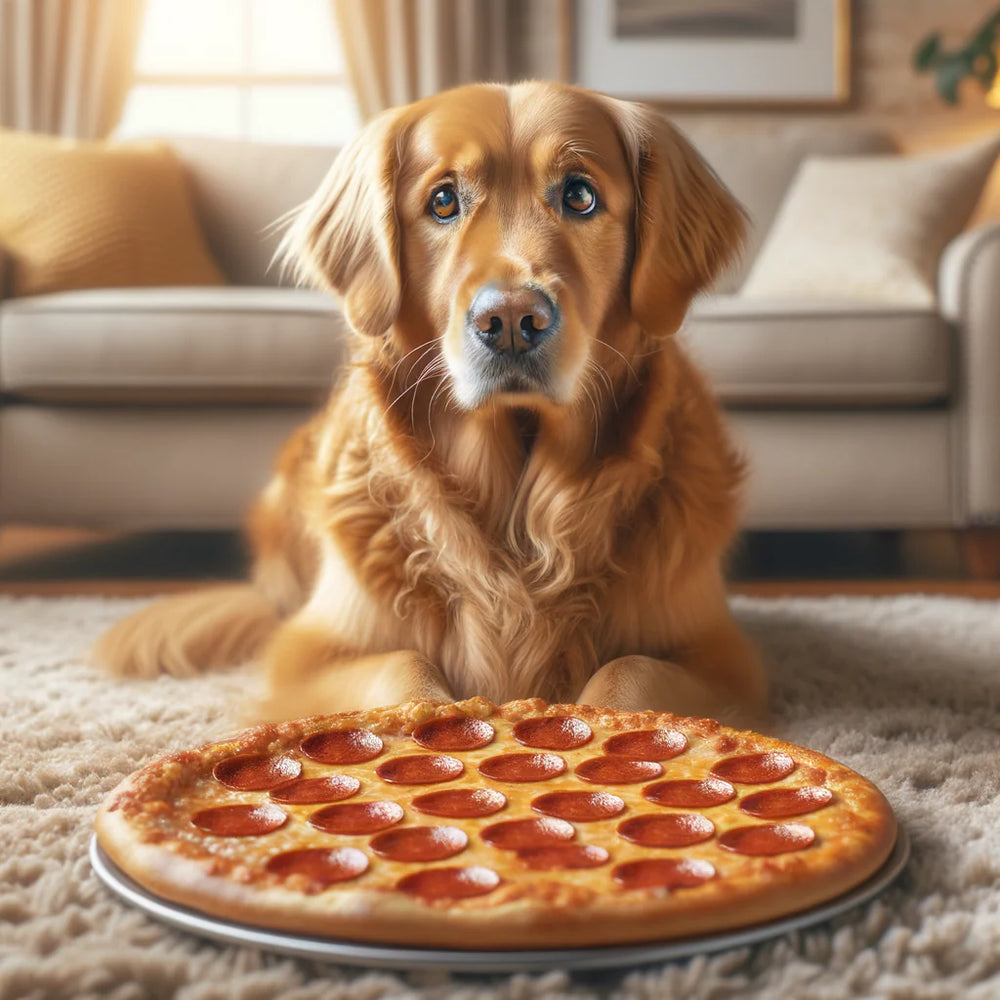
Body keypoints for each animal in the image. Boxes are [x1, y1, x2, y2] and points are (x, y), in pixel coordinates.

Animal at [94, 80, 764, 728]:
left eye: (580, 196)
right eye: (443, 202)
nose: (512, 320)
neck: (517, 522)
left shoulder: (720, 655)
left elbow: (627, 673)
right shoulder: (308, 651)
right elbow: (405, 667)